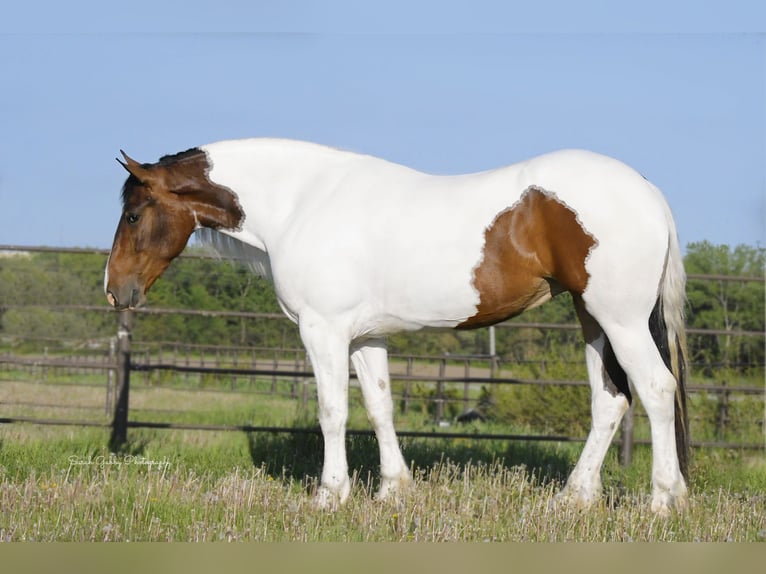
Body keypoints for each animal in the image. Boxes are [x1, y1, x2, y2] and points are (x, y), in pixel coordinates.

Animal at [103, 140, 688, 516]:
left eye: (133, 215)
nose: (115, 291)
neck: (303, 202)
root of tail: (647, 191)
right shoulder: (366, 338)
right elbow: (380, 407)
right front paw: (392, 490)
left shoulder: (324, 332)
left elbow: (332, 412)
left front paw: (329, 495)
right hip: (593, 318)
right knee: (610, 400)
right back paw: (575, 497)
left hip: (620, 319)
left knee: (656, 389)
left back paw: (663, 500)